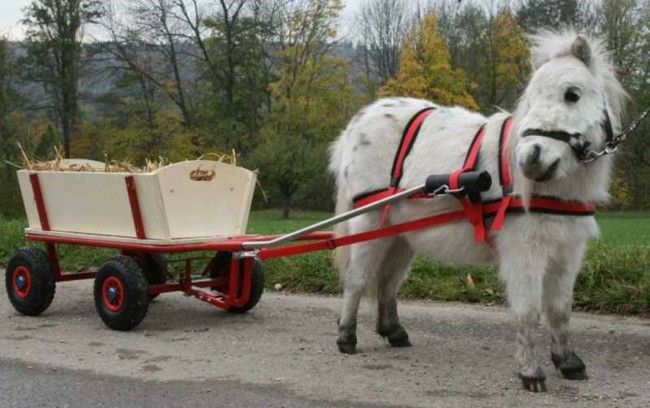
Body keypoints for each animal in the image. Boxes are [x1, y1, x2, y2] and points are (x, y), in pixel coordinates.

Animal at [326, 30, 624, 390]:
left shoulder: (568, 251)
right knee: (357, 279)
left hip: (400, 233)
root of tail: (359, 122)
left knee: (388, 281)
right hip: (369, 222)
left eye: (572, 94)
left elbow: (559, 309)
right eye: (531, 97)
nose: (530, 159)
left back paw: (393, 332)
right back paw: (346, 337)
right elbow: (528, 311)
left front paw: (568, 362)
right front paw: (530, 372)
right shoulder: (524, 251)